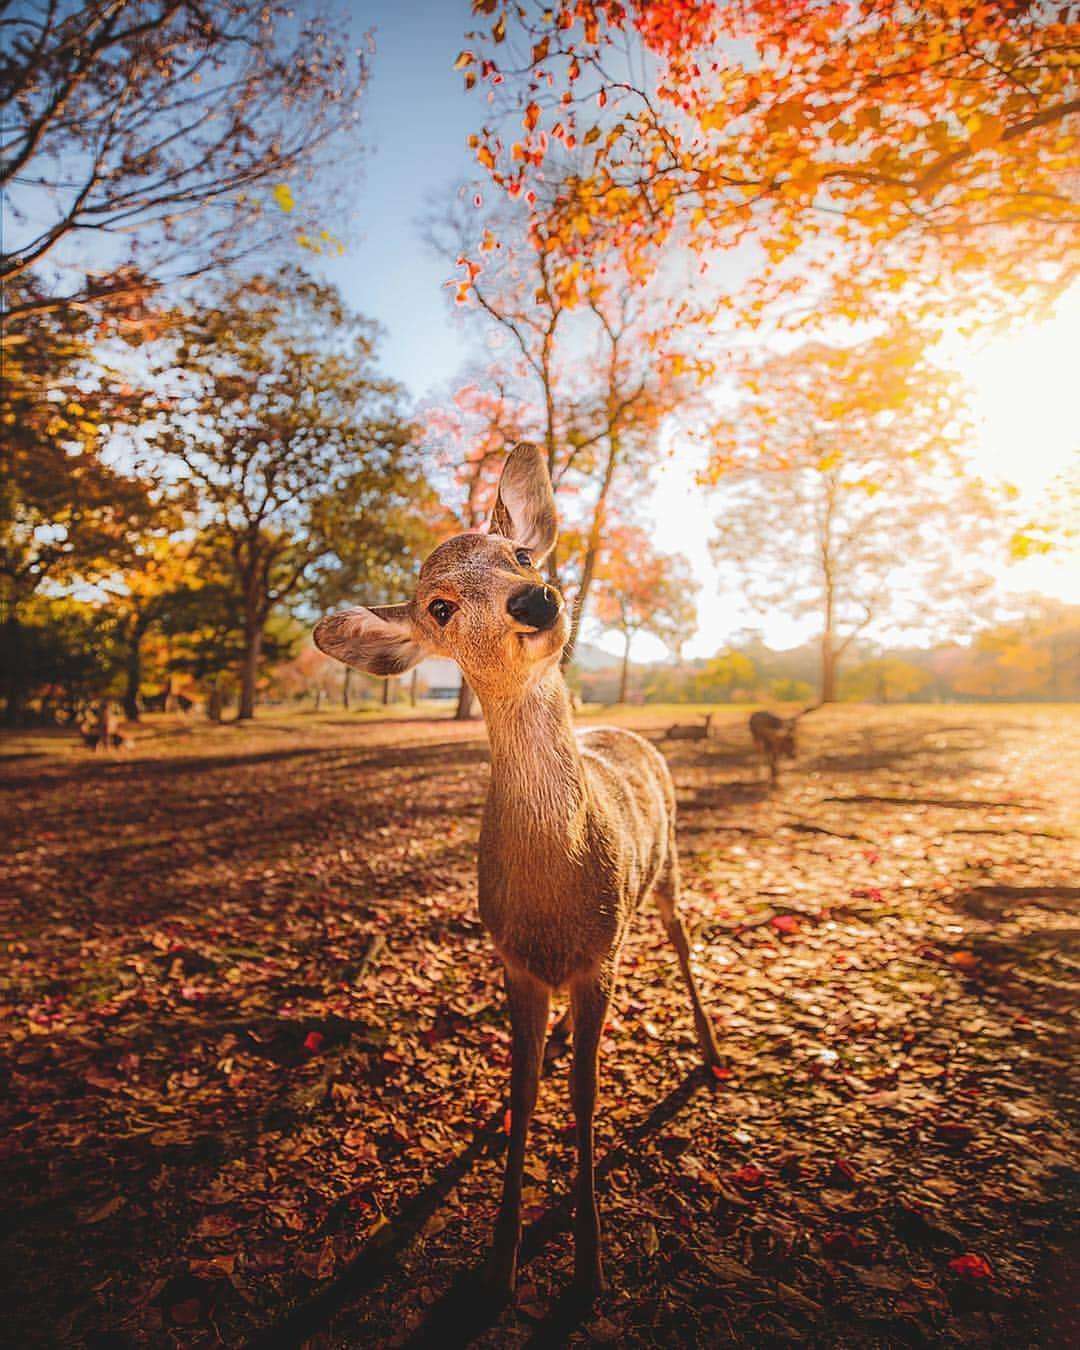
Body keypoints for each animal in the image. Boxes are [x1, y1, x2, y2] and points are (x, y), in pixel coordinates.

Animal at [315, 442, 723, 1296]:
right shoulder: (512, 959)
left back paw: (711, 1054)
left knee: (681, 941)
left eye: (521, 554)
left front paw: (590, 1267)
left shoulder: (602, 956)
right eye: (439, 606)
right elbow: (525, 1091)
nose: (534, 599)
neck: (554, 901)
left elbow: (585, 1095)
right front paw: (499, 1261)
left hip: (668, 865)